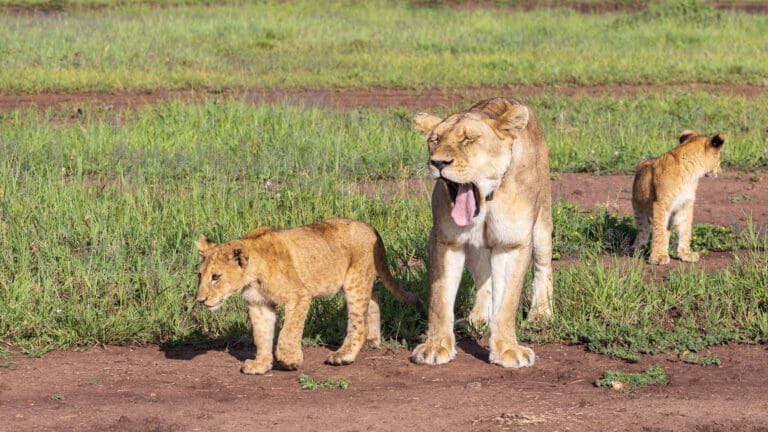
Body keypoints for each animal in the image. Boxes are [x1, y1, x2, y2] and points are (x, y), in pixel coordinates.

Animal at [195, 218, 419, 374]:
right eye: (200, 275)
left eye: (216, 277)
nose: (200, 300)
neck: (252, 276)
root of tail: (370, 227)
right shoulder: (259, 304)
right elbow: (262, 336)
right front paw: (261, 365)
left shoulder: (299, 295)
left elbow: (288, 333)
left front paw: (290, 360)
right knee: (374, 298)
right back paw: (373, 339)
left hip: (355, 282)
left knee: (358, 323)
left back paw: (343, 355)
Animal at [410, 97, 553, 369]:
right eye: (435, 140)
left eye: (468, 139)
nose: (438, 163)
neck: (487, 201)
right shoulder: (446, 240)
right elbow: (440, 299)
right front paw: (436, 346)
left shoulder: (511, 244)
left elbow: (507, 302)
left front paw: (508, 349)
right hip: (475, 248)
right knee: (484, 279)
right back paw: (477, 318)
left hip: (541, 227)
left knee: (543, 267)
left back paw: (541, 313)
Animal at [631, 130, 726, 265]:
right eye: (719, 159)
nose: (720, 172)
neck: (691, 174)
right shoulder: (661, 204)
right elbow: (658, 231)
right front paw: (658, 257)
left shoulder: (685, 205)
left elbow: (685, 230)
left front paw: (685, 254)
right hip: (638, 208)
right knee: (643, 229)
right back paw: (637, 248)